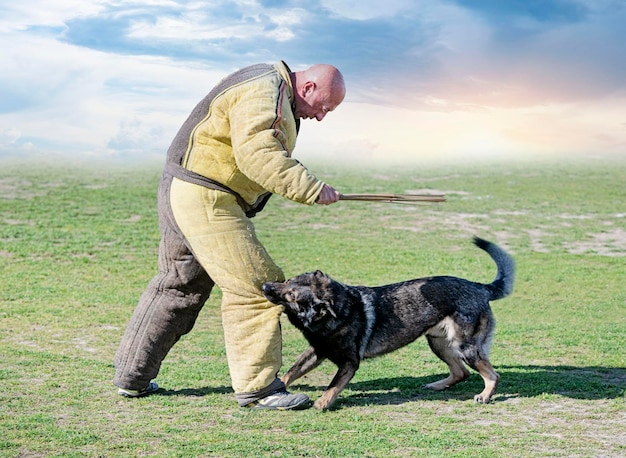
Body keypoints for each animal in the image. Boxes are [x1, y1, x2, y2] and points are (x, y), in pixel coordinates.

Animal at [260, 238, 516, 410]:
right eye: (287, 281)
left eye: (291, 295)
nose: (265, 286)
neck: (337, 313)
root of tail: (480, 287)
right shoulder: (317, 351)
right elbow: (291, 371)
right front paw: (275, 389)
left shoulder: (349, 363)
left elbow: (332, 385)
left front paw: (322, 403)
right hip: (438, 344)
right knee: (461, 372)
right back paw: (437, 386)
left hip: (465, 347)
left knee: (491, 375)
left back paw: (485, 396)